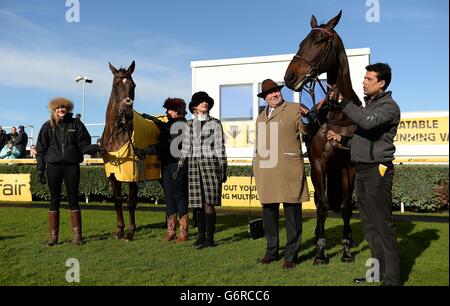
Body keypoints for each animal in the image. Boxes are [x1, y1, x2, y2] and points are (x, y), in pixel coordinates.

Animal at [284, 10, 362, 264]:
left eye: (318, 41)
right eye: (302, 42)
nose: (290, 76)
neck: (338, 113)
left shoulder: (349, 166)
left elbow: (346, 207)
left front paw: (346, 251)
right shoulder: (319, 164)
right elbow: (321, 206)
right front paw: (320, 252)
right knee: (321, 201)